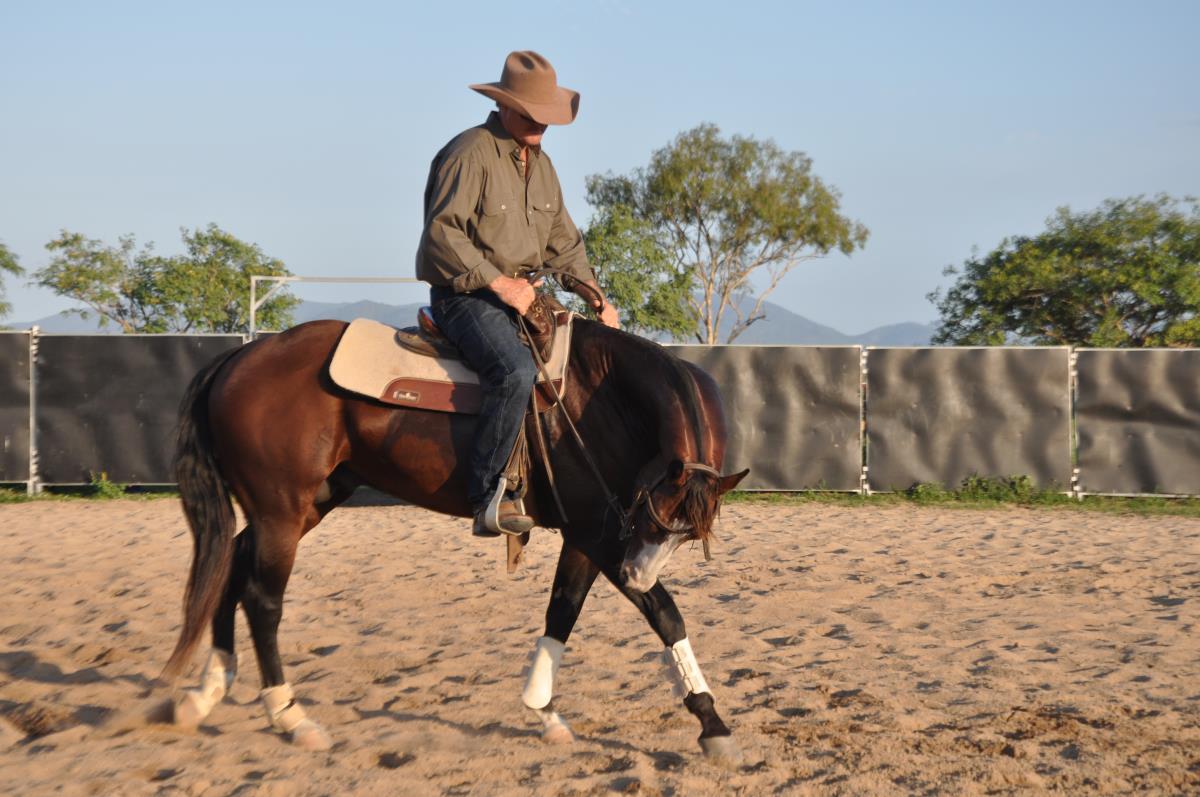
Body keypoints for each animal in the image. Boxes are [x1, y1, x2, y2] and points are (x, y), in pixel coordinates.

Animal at [160, 295, 749, 763]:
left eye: (687, 535)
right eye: (653, 512)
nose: (635, 575)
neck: (601, 396)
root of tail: (241, 357)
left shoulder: (592, 533)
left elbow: (562, 611)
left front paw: (544, 712)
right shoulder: (603, 537)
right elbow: (665, 615)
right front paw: (712, 724)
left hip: (308, 502)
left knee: (231, 566)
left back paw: (206, 693)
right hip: (280, 511)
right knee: (262, 600)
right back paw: (290, 716)